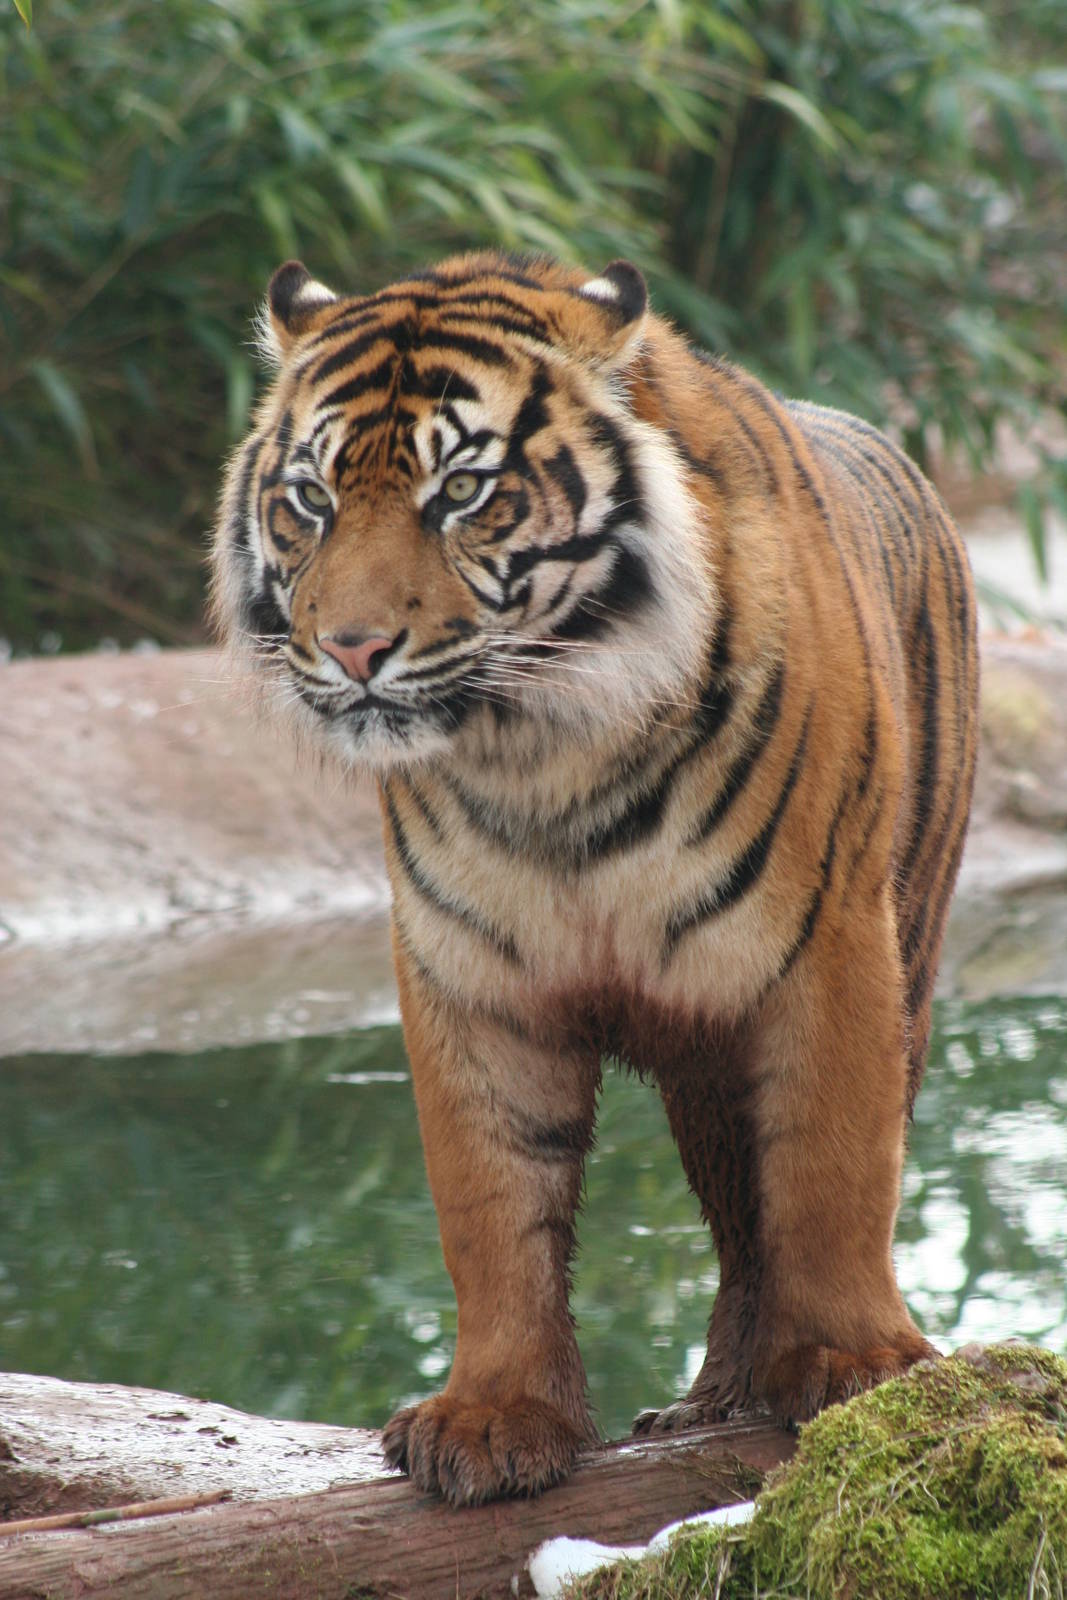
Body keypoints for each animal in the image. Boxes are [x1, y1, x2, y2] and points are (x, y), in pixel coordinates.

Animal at [211, 249, 978, 1507]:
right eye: (311, 500)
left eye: (462, 493)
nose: (354, 648)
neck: (546, 756)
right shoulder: (467, 973)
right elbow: (491, 1205)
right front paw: (491, 1417)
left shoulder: (826, 952)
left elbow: (830, 1170)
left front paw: (855, 1366)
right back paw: (712, 1399)